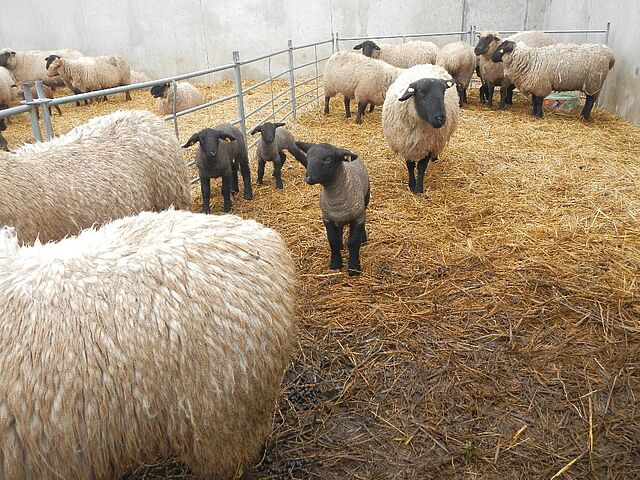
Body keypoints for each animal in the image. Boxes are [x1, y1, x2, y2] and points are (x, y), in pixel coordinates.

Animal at [295, 142, 370, 276]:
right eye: (308, 157)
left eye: (328, 159)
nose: (308, 178)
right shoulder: (327, 218)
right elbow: (333, 240)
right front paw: (335, 264)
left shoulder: (358, 218)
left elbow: (353, 243)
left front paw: (354, 268)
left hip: (365, 200)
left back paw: (363, 239)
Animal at [382, 64, 459, 194]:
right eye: (422, 93)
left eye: (443, 92)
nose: (440, 119)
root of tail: (428, 64)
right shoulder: (405, 144)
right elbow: (410, 166)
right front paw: (411, 184)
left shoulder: (430, 144)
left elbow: (422, 167)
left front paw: (418, 189)